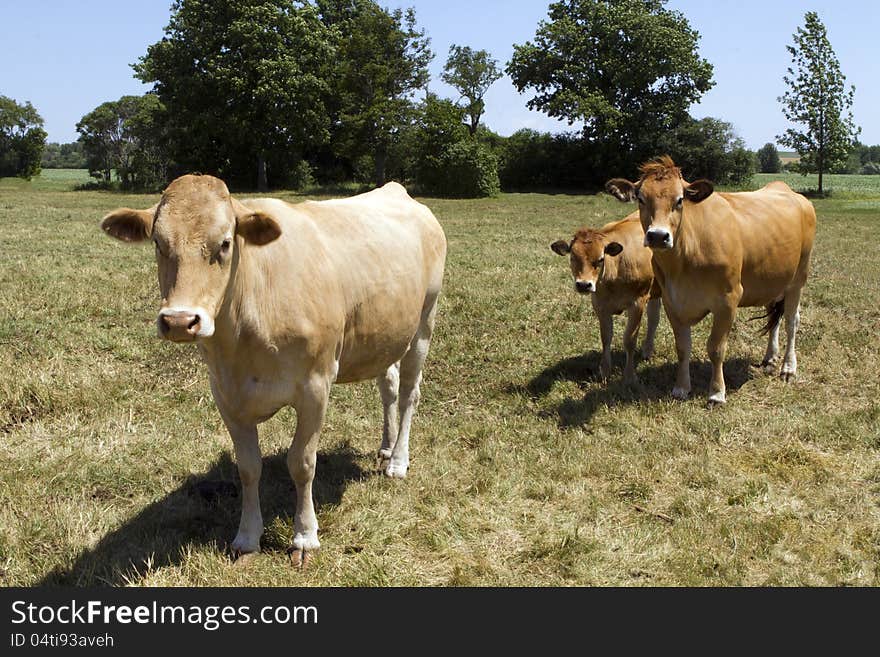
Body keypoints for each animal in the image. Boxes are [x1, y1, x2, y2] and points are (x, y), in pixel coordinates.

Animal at [101, 174, 446, 564]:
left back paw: (398, 461)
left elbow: (302, 462)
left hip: (424, 321)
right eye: (158, 243)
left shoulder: (315, 387)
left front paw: (305, 535)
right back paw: (386, 446)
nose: (179, 321)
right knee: (388, 385)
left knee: (409, 394)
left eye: (224, 243)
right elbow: (249, 468)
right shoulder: (226, 394)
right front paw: (247, 535)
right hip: (384, 334)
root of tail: (397, 191)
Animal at [552, 213, 660, 382]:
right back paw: (647, 350)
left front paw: (629, 375)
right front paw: (605, 370)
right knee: (654, 317)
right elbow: (606, 337)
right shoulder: (600, 305)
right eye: (572, 258)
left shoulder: (638, 302)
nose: (584, 285)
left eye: (601, 259)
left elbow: (629, 340)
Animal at [604, 158, 820, 404]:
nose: (658, 236)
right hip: (772, 280)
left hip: (798, 280)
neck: (685, 259)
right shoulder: (672, 301)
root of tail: (792, 193)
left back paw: (788, 368)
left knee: (792, 322)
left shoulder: (728, 300)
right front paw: (681, 387)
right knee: (774, 317)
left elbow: (716, 349)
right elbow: (682, 348)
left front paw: (716, 392)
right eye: (641, 198)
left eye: (680, 200)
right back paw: (770, 357)